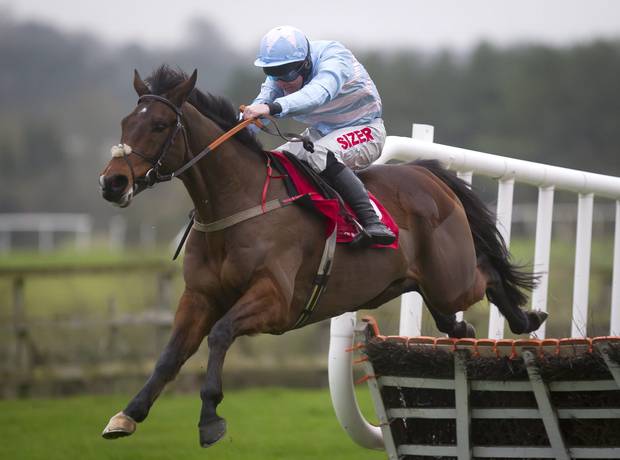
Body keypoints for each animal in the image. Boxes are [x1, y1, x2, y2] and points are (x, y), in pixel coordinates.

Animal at [98, 66, 548, 448]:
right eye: (124, 123)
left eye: (159, 125)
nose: (112, 182)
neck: (237, 205)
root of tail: (427, 173)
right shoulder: (200, 296)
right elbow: (170, 355)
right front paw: (128, 414)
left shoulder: (274, 301)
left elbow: (221, 334)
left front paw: (210, 417)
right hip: (425, 287)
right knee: (455, 322)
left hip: (451, 280)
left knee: (488, 274)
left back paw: (526, 319)